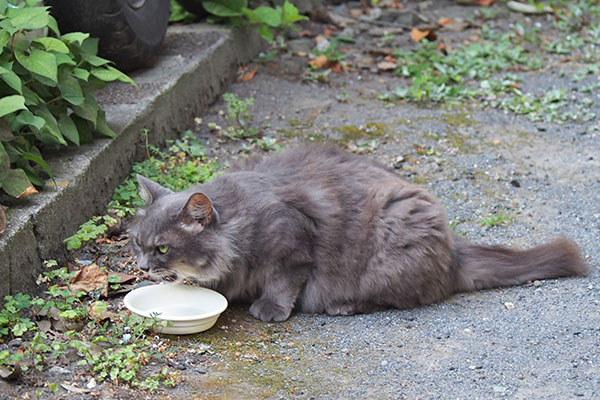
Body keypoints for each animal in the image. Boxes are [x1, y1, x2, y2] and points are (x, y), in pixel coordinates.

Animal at [130, 144, 584, 322]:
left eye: (163, 249)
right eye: (137, 243)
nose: (143, 267)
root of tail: (455, 249)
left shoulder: (293, 245)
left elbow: (282, 282)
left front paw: (270, 308)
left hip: (393, 242)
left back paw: (342, 305)